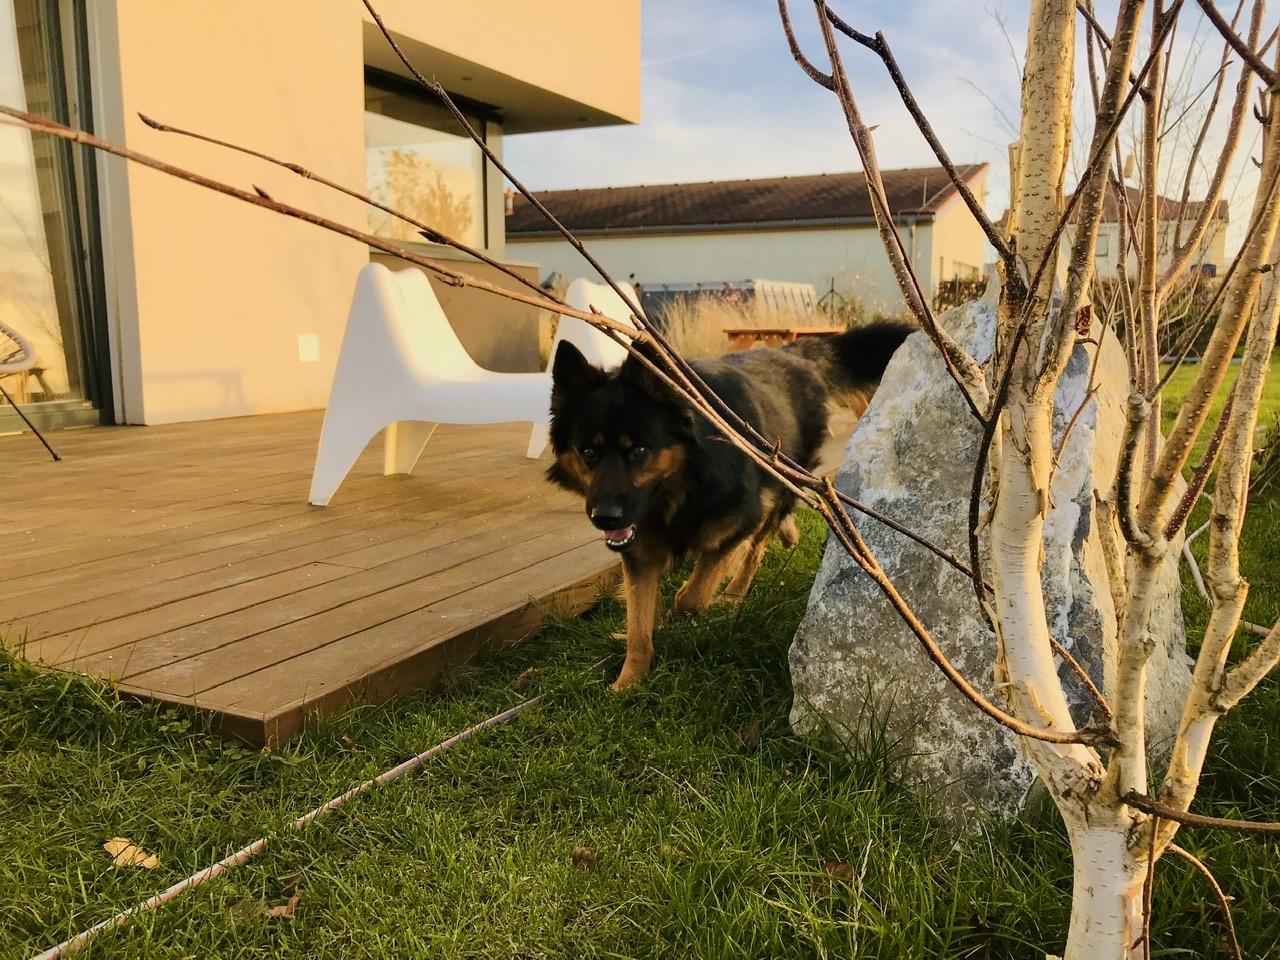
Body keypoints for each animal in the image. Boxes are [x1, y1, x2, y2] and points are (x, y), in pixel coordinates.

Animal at [546, 321, 913, 691]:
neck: (684, 485)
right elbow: (639, 623)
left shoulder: (744, 516)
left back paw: (733, 594)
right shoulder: (640, 552)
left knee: (755, 550)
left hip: (777, 488)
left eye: (639, 450)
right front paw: (630, 681)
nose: (605, 518)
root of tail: (791, 354)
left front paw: (689, 603)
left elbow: (692, 596)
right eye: (588, 453)